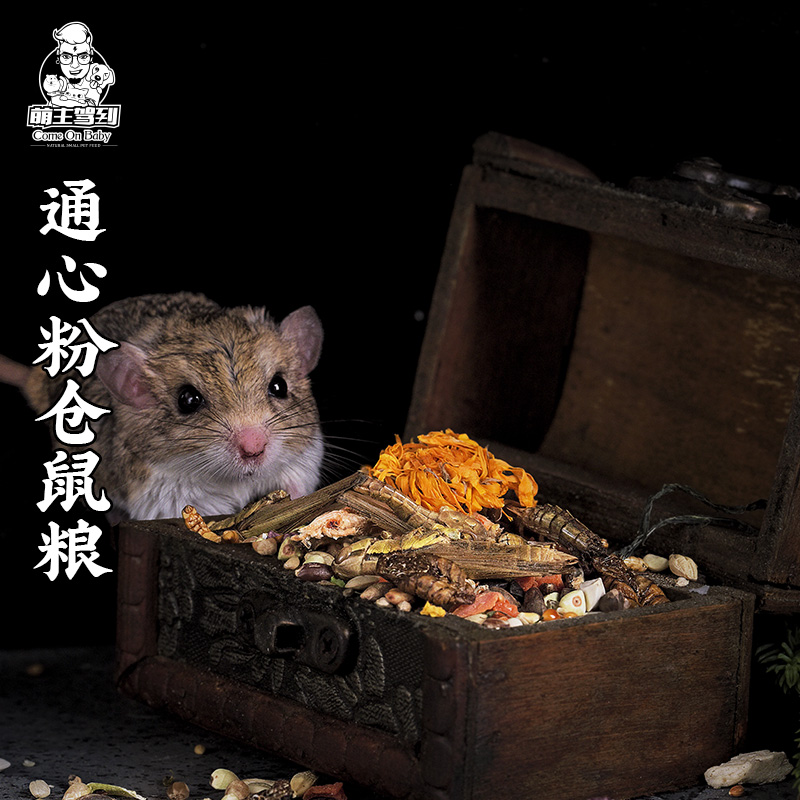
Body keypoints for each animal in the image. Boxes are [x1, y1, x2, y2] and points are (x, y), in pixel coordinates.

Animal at [3, 292, 325, 523]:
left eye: (279, 386)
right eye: (188, 400)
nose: (254, 449)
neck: (235, 479)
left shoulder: (303, 460)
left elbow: (295, 483)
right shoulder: (162, 495)